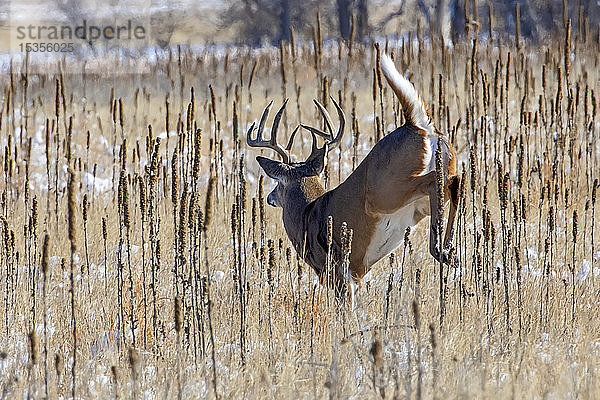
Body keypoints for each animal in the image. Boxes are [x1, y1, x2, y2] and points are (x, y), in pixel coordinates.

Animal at [247, 53, 460, 296]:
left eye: (278, 183)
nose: (269, 197)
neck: (307, 214)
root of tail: (416, 125)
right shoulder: (357, 275)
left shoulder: (337, 272)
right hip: (430, 184)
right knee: (453, 181)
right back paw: (449, 250)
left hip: (385, 192)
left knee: (438, 181)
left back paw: (439, 249)